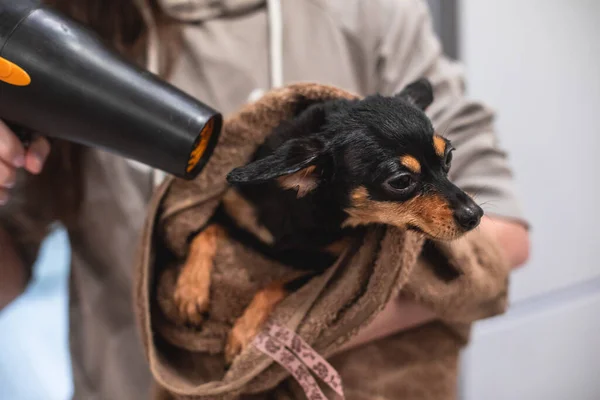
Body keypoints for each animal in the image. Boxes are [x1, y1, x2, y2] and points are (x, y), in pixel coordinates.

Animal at [169, 79, 482, 366]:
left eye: (448, 157)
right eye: (401, 181)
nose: (475, 214)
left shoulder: (325, 266)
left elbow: (275, 286)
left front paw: (244, 333)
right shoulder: (232, 214)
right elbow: (203, 233)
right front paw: (190, 291)